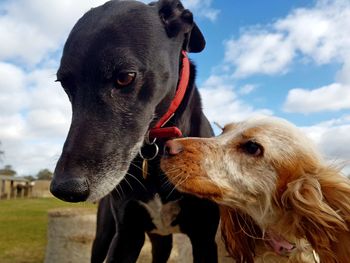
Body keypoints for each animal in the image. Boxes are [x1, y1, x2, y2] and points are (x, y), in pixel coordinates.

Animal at [50, 1, 219, 262]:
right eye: (65, 84)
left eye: (125, 77)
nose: (66, 189)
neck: (155, 153)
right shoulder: (126, 235)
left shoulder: (205, 239)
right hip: (104, 234)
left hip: (162, 241)